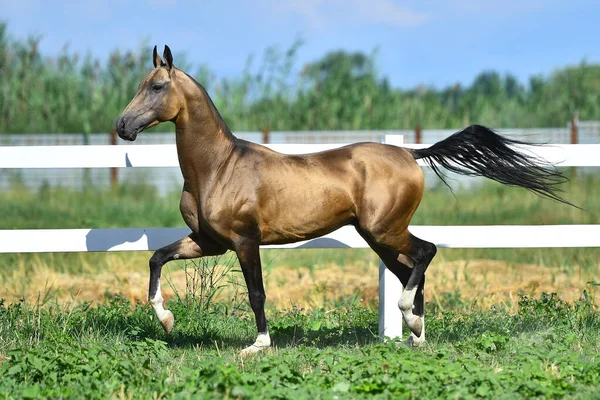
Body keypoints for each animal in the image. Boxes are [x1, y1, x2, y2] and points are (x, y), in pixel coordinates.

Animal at [116, 45, 572, 354]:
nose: (122, 125)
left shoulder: (245, 241)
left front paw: (259, 345)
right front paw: (167, 320)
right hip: (379, 237)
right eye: (140, 86)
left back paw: (410, 317)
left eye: (157, 86)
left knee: (426, 253)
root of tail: (410, 153)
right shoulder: (208, 242)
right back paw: (416, 334)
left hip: (385, 230)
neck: (220, 167)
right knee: (412, 269)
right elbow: (157, 258)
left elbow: (256, 293)